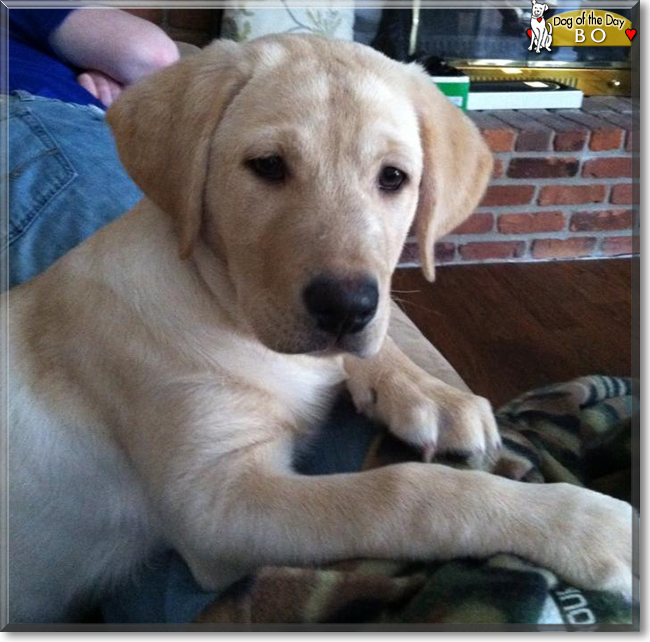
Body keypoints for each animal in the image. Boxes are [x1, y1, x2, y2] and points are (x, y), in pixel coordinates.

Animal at [5, 33, 632, 620]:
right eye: (267, 166)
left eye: (393, 178)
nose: (346, 308)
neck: (225, 310)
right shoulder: (215, 505)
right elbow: (403, 492)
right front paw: (577, 523)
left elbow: (373, 347)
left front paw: (431, 394)